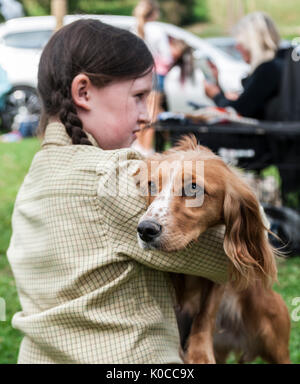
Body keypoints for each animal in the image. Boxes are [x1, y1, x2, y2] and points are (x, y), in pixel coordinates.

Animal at [136, 136, 290, 364]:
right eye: (151, 185)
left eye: (193, 188)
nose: (145, 230)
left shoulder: (218, 277)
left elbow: (206, 312)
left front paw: (199, 352)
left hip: (274, 341)